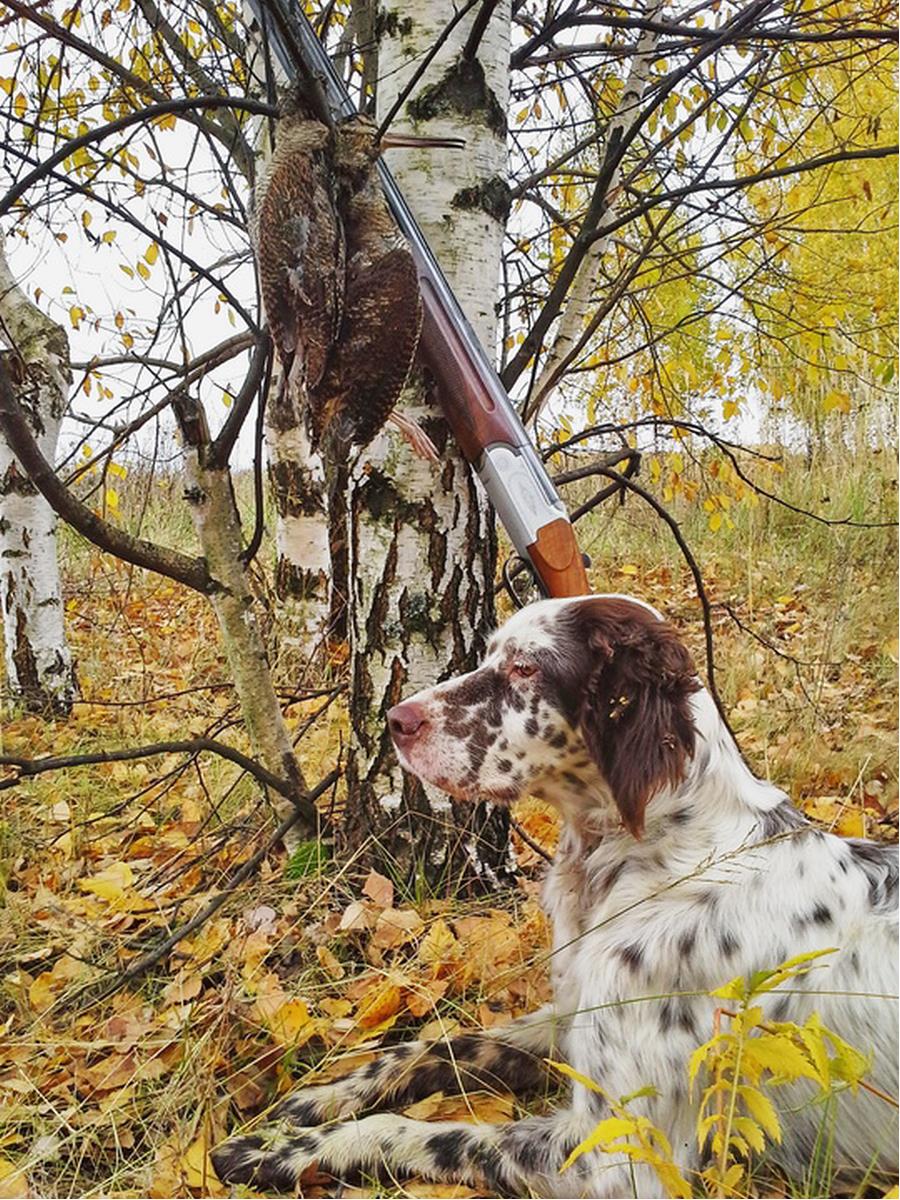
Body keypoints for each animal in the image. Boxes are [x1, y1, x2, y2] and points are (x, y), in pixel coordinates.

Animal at [213, 594, 898, 1196]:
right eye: (493, 654)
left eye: (526, 667)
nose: (397, 720)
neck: (654, 851)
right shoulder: (571, 1014)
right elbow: (437, 1044)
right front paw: (319, 1099)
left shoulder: (621, 1155)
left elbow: (420, 1131)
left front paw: (284, 1151)